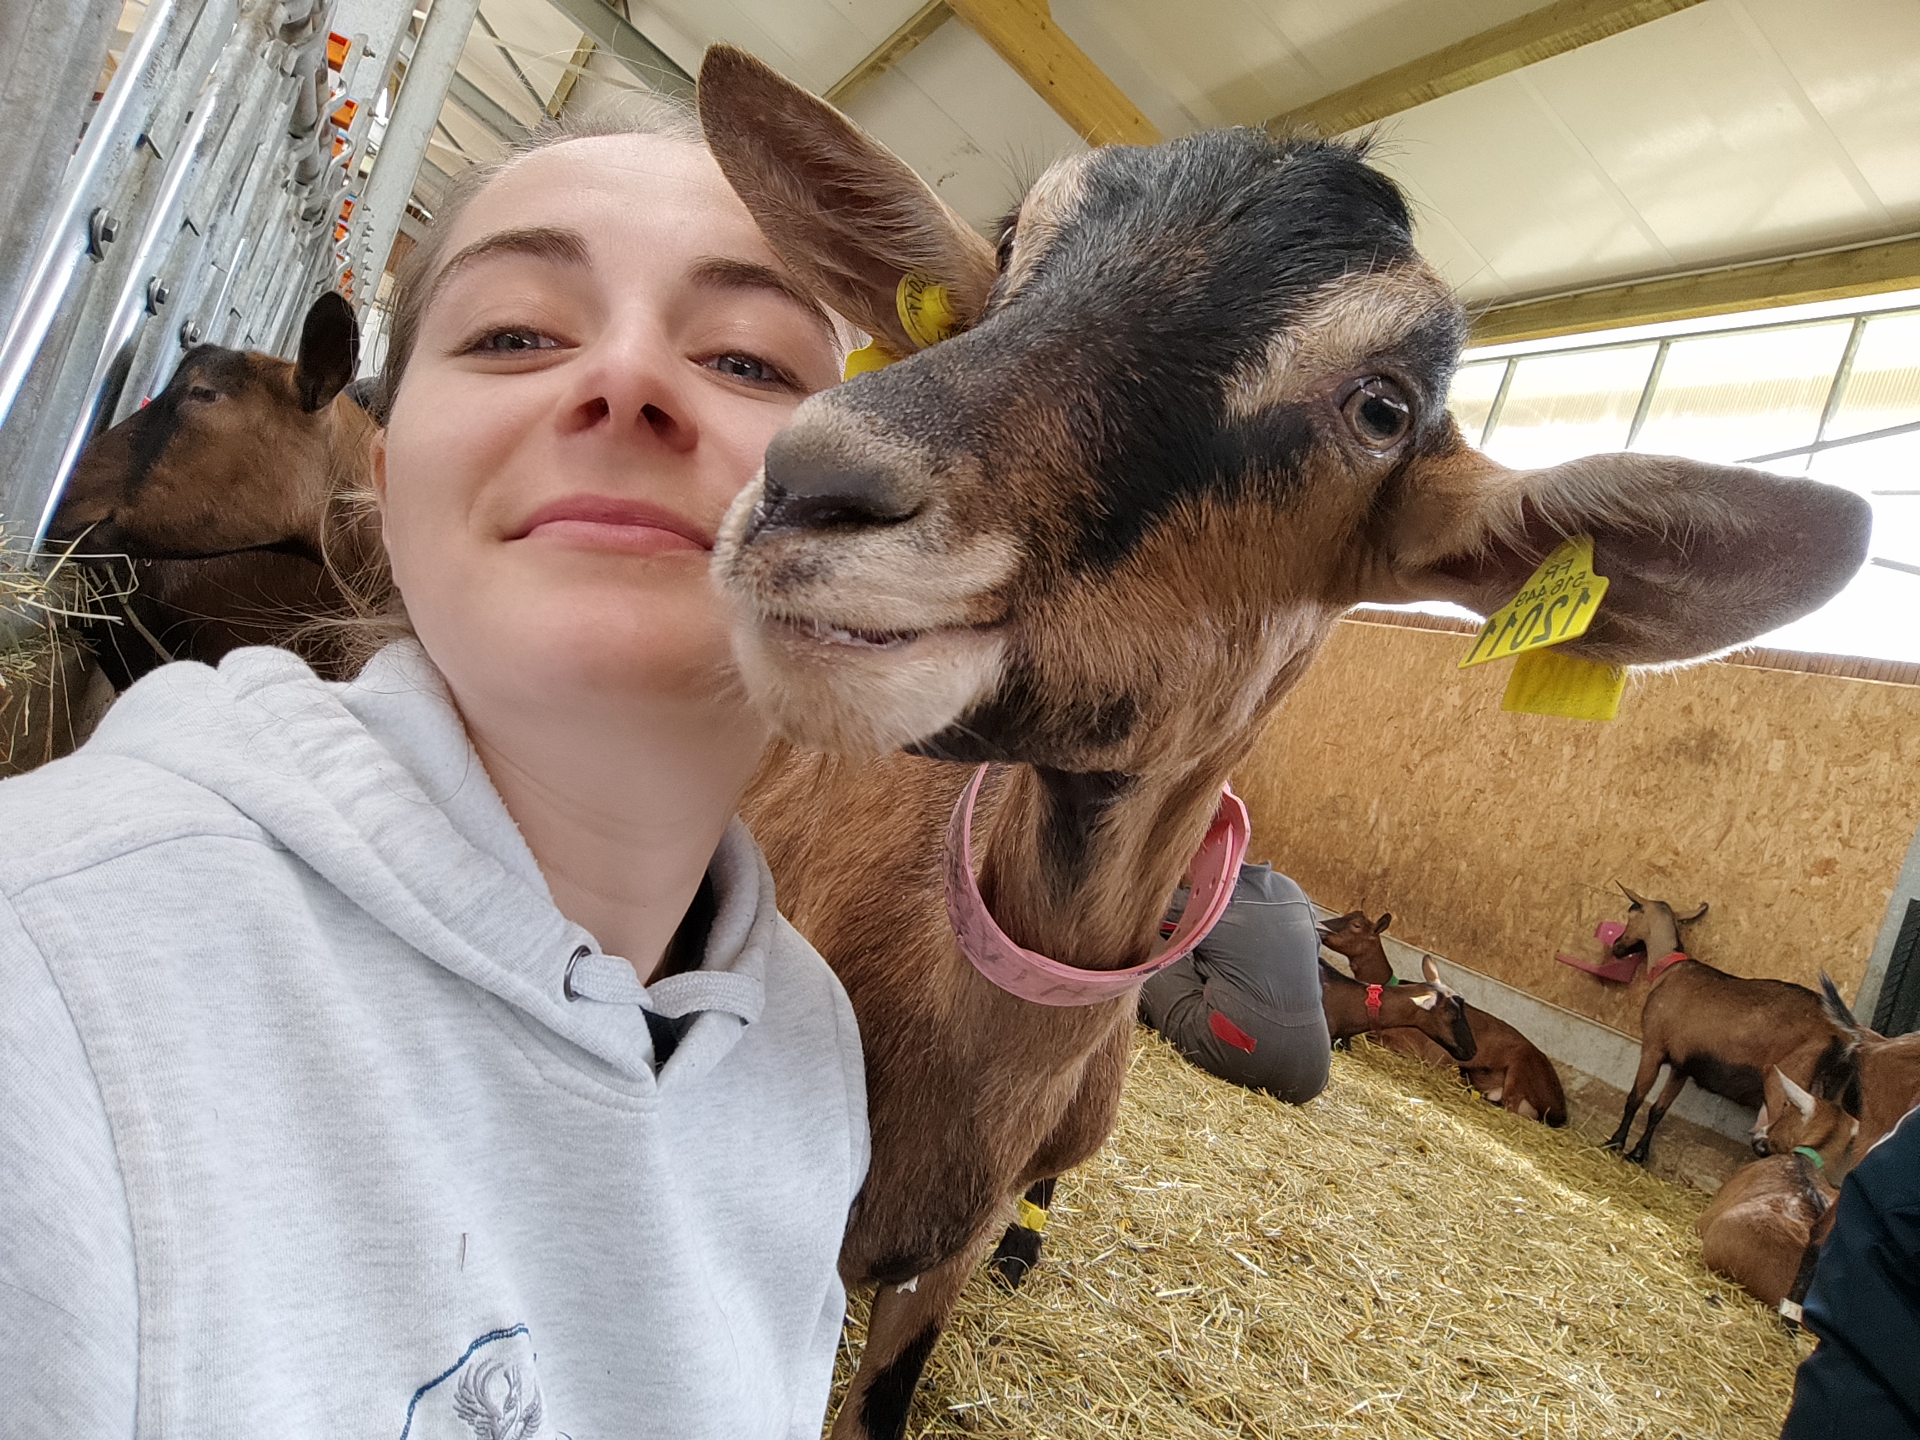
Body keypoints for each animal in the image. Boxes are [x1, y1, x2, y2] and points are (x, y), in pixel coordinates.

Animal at [1319, 910, 1567, 1124]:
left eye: (1356, 925)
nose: (1321, 927)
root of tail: (1561, 1110)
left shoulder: (1420, 1049)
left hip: (1520, 1069)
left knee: (1510, 1104)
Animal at [1606, 888, 1849, 1166]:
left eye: (1632, 912)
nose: (1617, 947)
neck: (1669, 969)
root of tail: (1841, 1039)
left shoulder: (1653, 1048)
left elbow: (1635, 1098)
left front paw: (1615, 1142)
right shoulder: (1682, 1064)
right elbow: (1658, 1109)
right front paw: (1638, 1153)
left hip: (1787, 1086)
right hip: (1825, 1100)